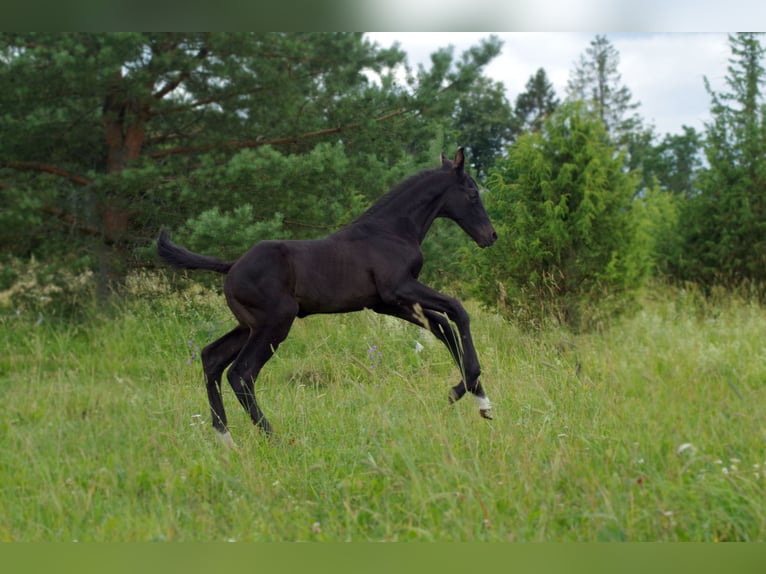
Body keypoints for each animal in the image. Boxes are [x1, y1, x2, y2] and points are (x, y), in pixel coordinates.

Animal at [159, 147, 500, 446]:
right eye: (472, 193)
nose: (491, 236)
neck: (391, 231)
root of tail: (230, 266)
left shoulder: (388, 303)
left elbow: (443, 327)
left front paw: (477, 398)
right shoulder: (399, 288)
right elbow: (457, 311)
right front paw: (467, 389)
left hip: (249, 326)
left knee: (211, 358)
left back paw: (225, 438)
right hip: (275, 323)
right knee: (241, 373)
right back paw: (274, 439)